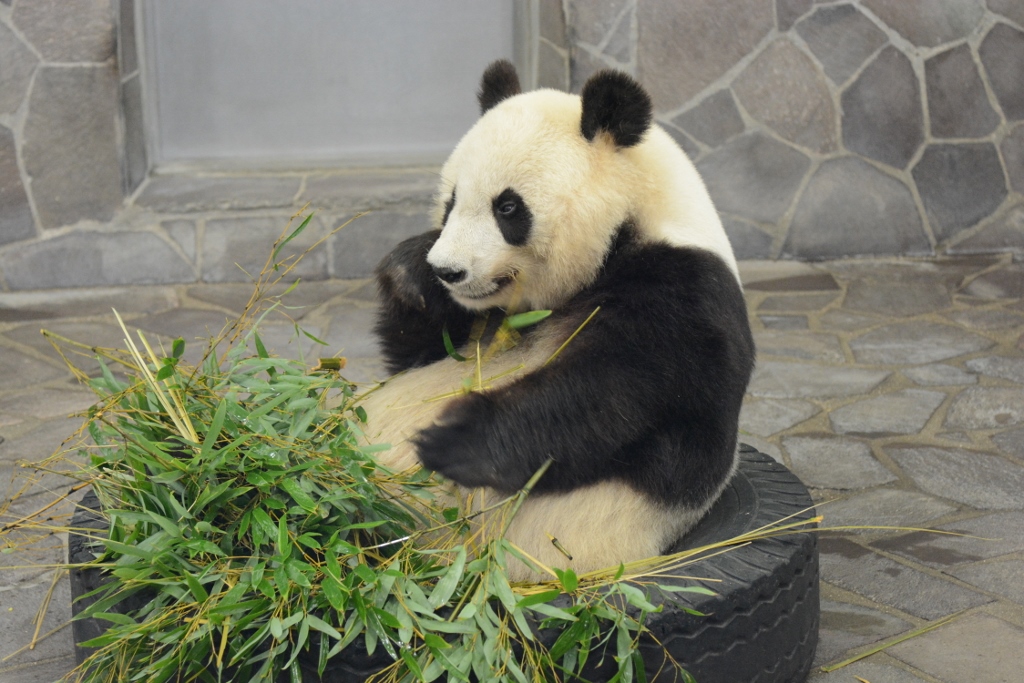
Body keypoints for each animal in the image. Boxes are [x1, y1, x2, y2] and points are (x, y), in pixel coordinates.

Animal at [360, 60, 753, 581]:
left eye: (507, 207)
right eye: (451, 202)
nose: (448, 270)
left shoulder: (686, 294)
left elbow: (608, 395)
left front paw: (452, 437)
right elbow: (413, 356)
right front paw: (410, 273)